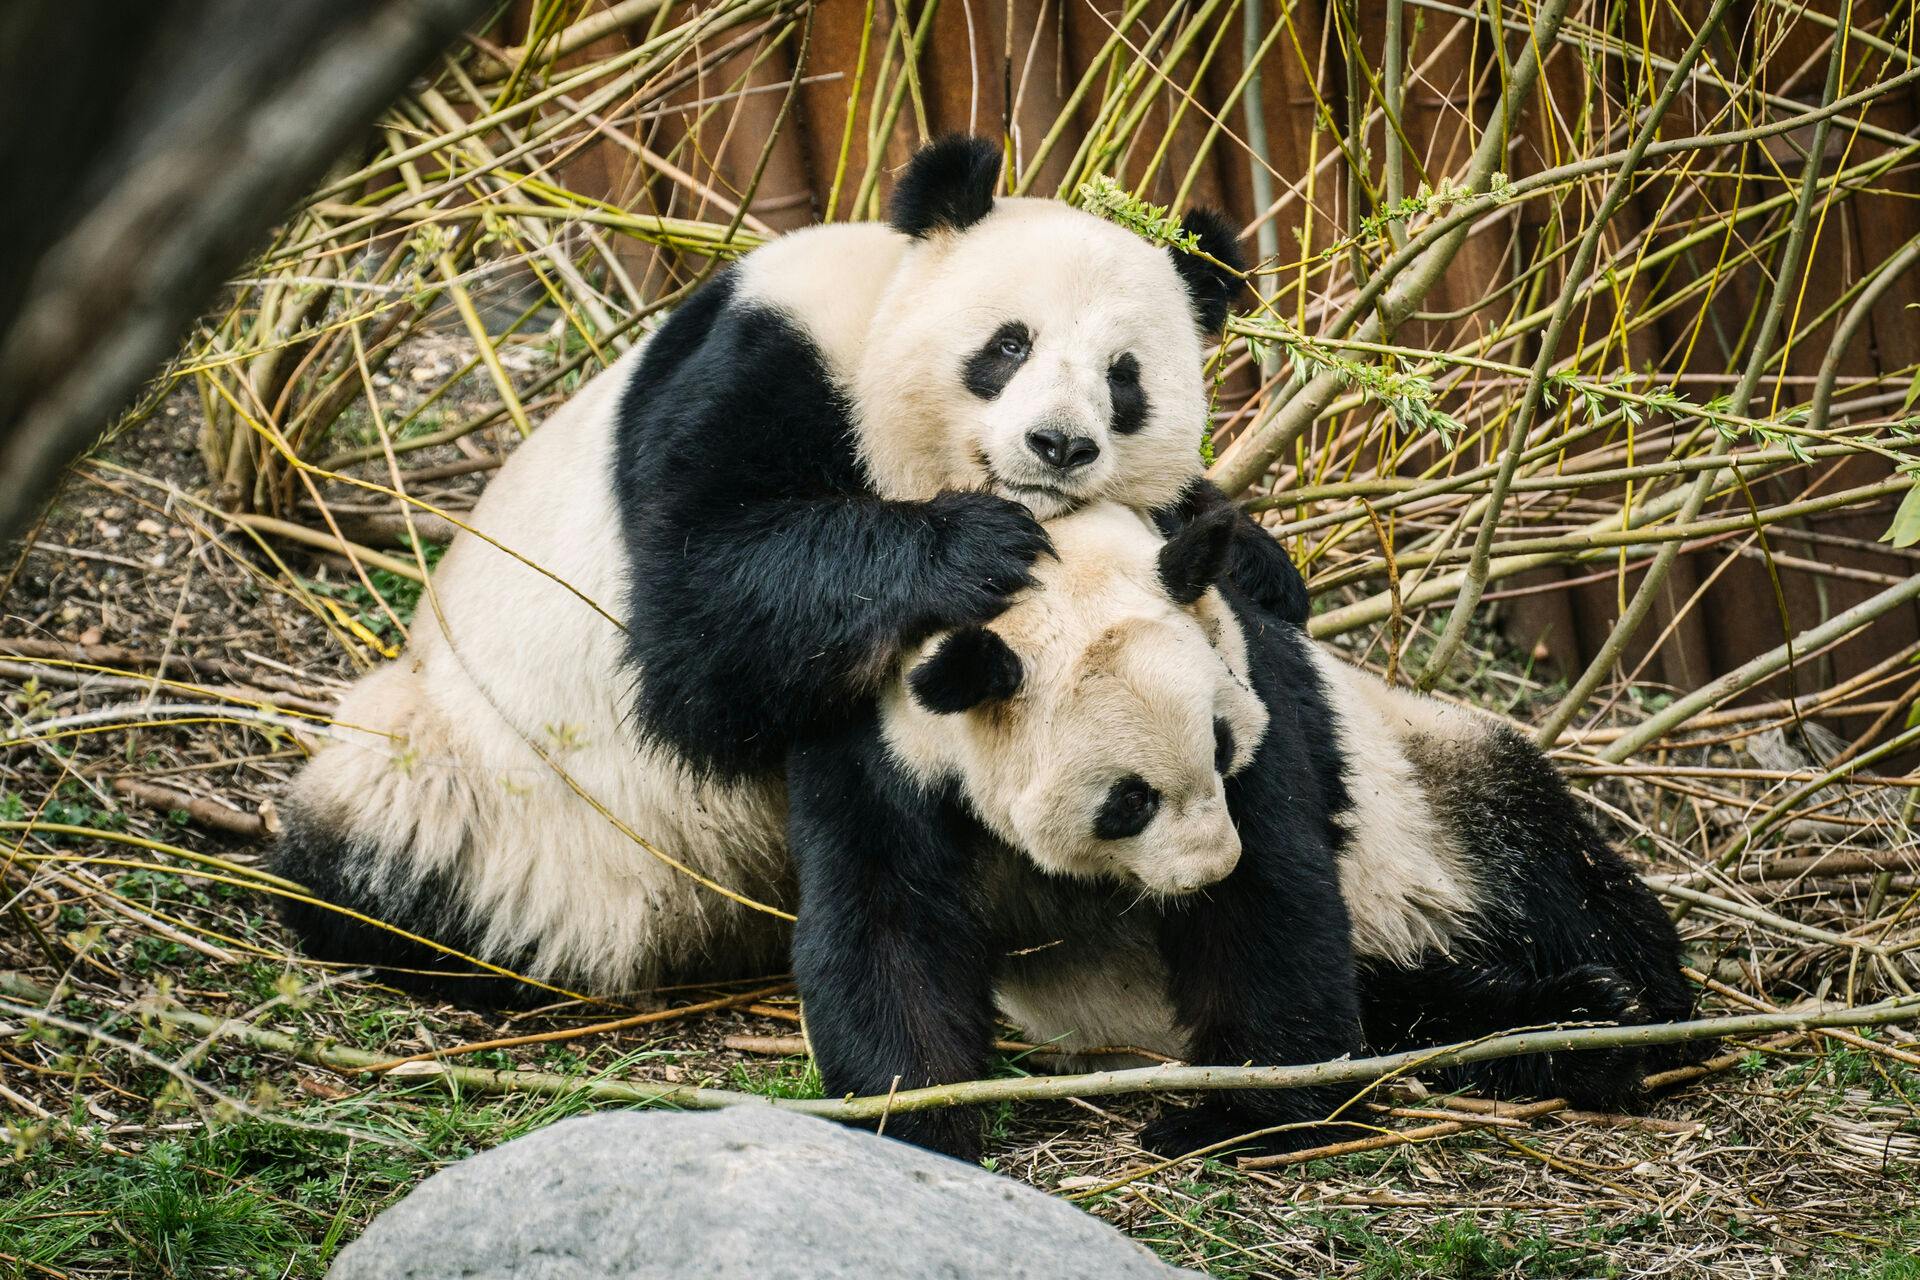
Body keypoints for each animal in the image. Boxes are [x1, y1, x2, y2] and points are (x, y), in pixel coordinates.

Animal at [270, 135, 1297, 1005]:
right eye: (1009, 345)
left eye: (1125, 379)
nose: (1059, 445)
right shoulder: (766, 362)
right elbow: (701, 620)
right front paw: (974, 544)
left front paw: (1247, 557)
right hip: (491, 786)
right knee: (387, 833)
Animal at [791, 498, 1697, 1159]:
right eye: (1127, 802)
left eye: (1221, 744)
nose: (1208, 869)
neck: (1054, 569)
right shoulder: (887, 757)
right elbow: (889, 929)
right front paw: (918, 1117)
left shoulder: (1259, 697)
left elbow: (1269, 913)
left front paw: (1236, 1116)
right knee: (1416, 1010)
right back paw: (1569, 1025)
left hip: (1440, 788)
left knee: (1553, 879)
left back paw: (1617, 1015)